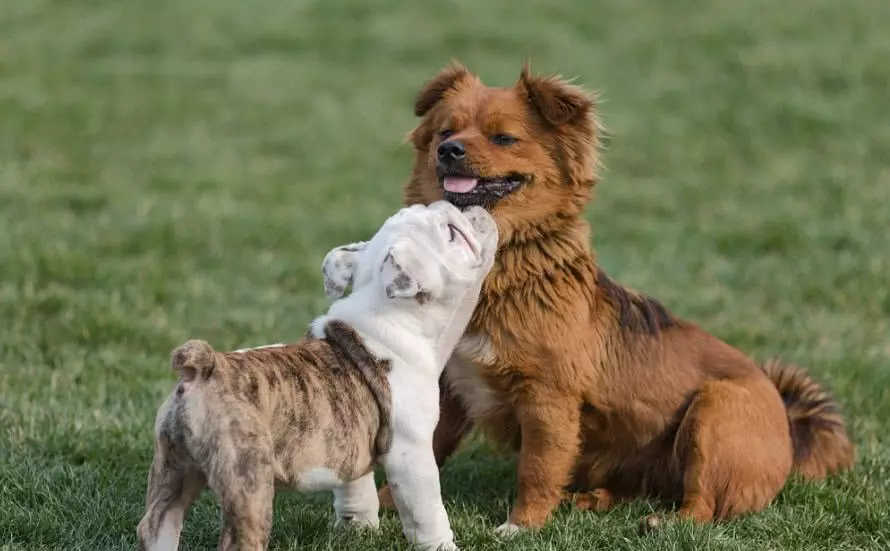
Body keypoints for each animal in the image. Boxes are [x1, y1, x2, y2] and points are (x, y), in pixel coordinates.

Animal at [136, 202, 496, 551]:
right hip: (248, 480)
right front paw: (442, 545)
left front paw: (358, 530)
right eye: (452, 233)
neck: (394, 315)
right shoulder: (411, 452)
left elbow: (355, 488)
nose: (467, 206)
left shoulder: (350, 443)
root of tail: (204, 368)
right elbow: (426, 511)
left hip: (173, 467)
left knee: (159, 522)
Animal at [374, 63, 852, 536]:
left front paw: (521, 526)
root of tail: (788, 419)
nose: (449, 150)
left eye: (503, 138)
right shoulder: (444, 386)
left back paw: (664, 521)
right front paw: (386, 505)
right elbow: (421, 455)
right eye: (444, 131)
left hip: (714, 411)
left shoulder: (548, 399)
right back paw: (594, 499)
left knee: (704, 506)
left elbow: (537, 468)